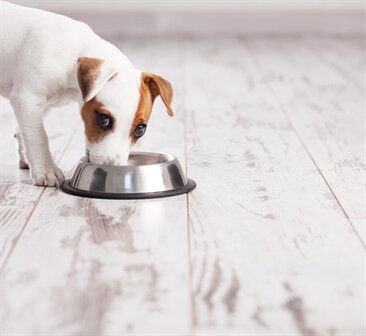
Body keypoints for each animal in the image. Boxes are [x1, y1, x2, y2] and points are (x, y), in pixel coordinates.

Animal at [0, 0, 174, 186]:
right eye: (103, 119)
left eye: (140, 129)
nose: (113, 168)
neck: (72, 57)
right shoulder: (27, 99)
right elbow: (37, 135)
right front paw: (46, 170)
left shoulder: (42, 105)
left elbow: (23, 131)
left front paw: (26, 156)